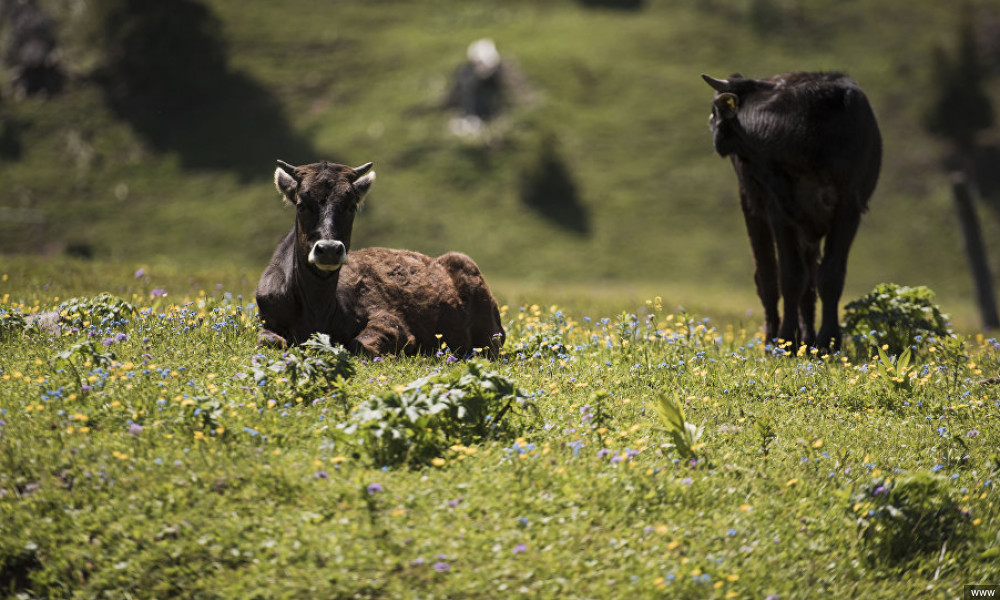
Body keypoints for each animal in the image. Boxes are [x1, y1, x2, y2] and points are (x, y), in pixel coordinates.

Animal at [256, 157, 508, 358]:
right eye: (301, 205)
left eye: (351, 206)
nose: (328, 249)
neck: (317, 310)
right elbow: (268, 340)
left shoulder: (391, 321)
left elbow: (359, 345)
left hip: (488, 333)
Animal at [704, 71, 884, 352]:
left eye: (715, 110)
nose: (711, 126)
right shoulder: (779, 209)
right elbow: (790, 276)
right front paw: (786, 339)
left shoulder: (849, 207)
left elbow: (830, 276)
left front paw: (829, 341)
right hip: (755, 207)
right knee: (768, 277)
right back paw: (774, 338)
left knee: (808, 281)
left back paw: (808, 340)